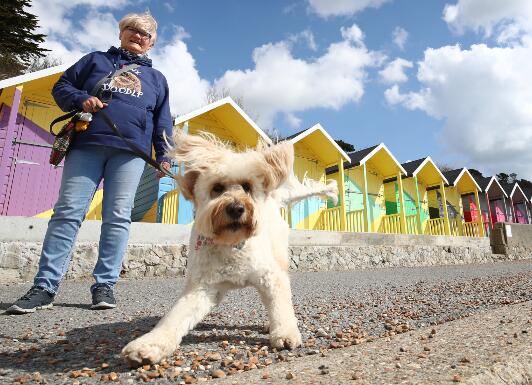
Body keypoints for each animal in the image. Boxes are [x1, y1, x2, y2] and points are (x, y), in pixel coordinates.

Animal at [121, 130, 336, 364]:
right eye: (217, 188)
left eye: (247, 187)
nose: (236, 208)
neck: (232, 244)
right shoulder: (201, 288)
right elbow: (175, 317)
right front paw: (149, 345)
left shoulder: (270, 277)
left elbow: (280, 305)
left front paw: (286, 333)